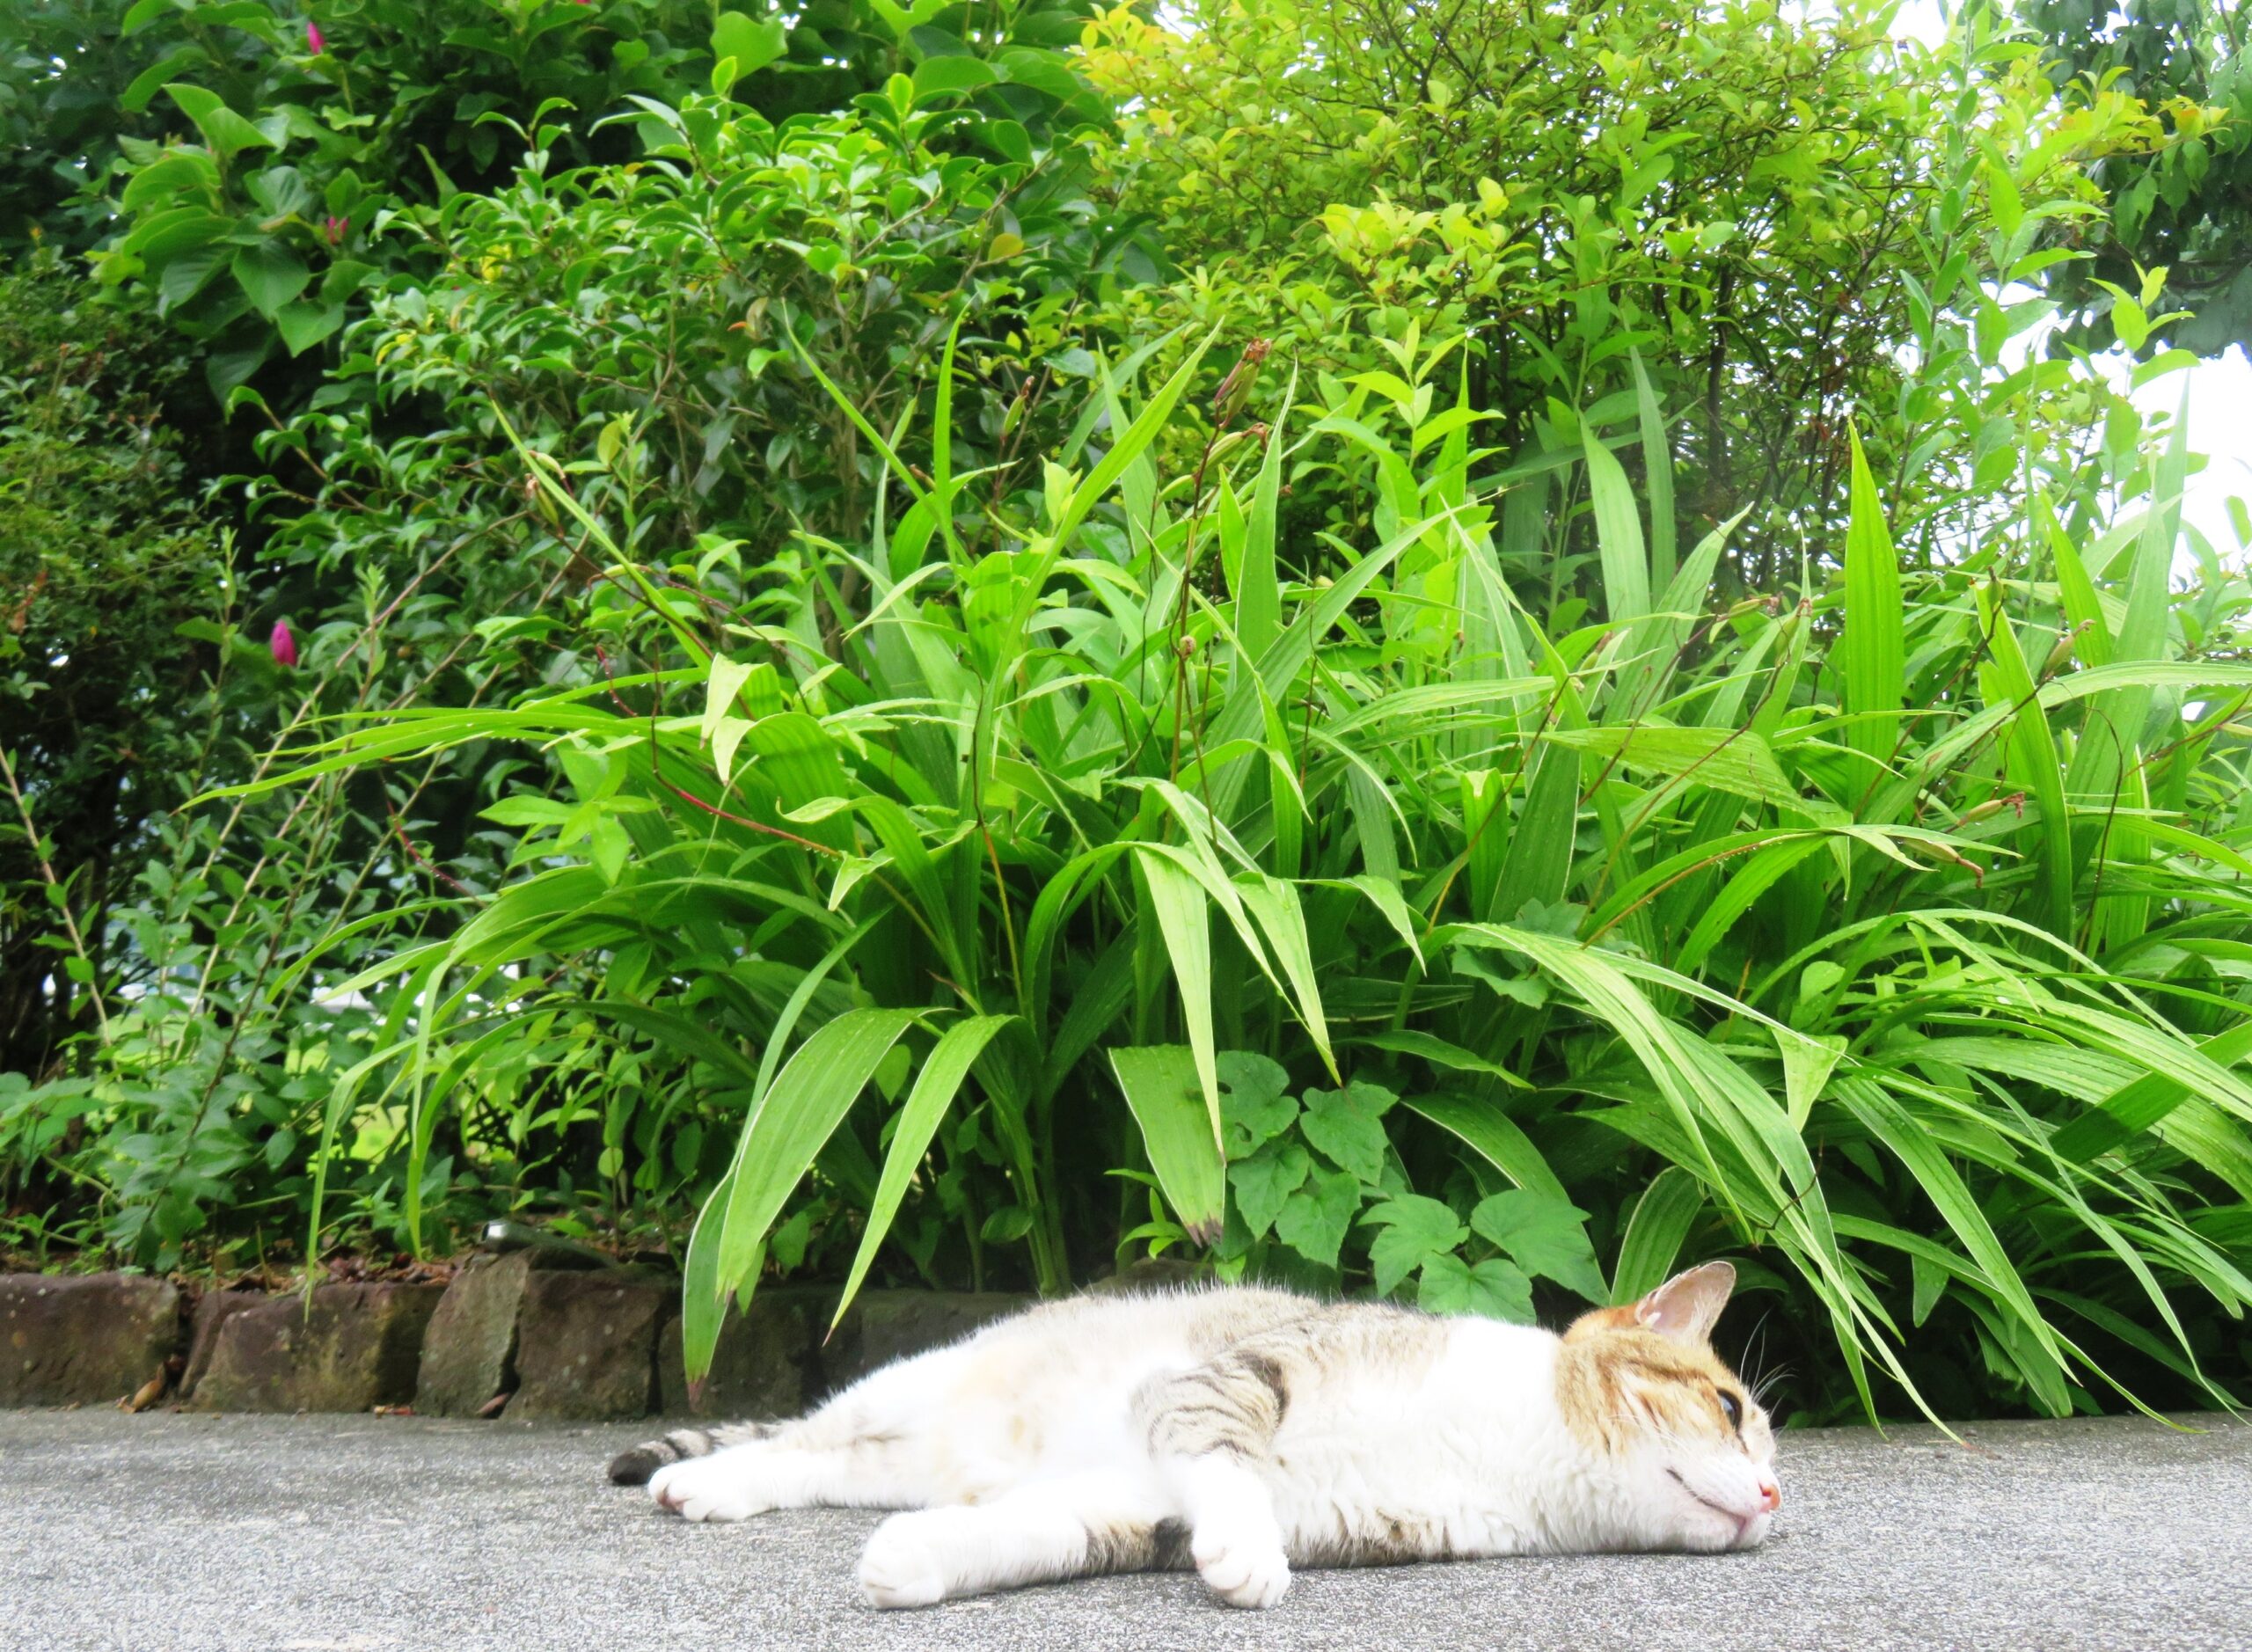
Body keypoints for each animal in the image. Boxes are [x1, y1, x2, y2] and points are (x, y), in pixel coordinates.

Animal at [608, 1260, 1783, 1611]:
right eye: (1732, 1412)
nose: (1775, 1498)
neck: (1520, 1454)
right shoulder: (1230, 1379)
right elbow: (1223, 1456)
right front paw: (1246, 1552)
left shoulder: (1147, 1511)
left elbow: (1053, 1534)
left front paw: (920, 1562)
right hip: (898, 1390)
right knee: (795, 1439)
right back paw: (706, 1480)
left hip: (900, 1465)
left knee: (829, 1471)